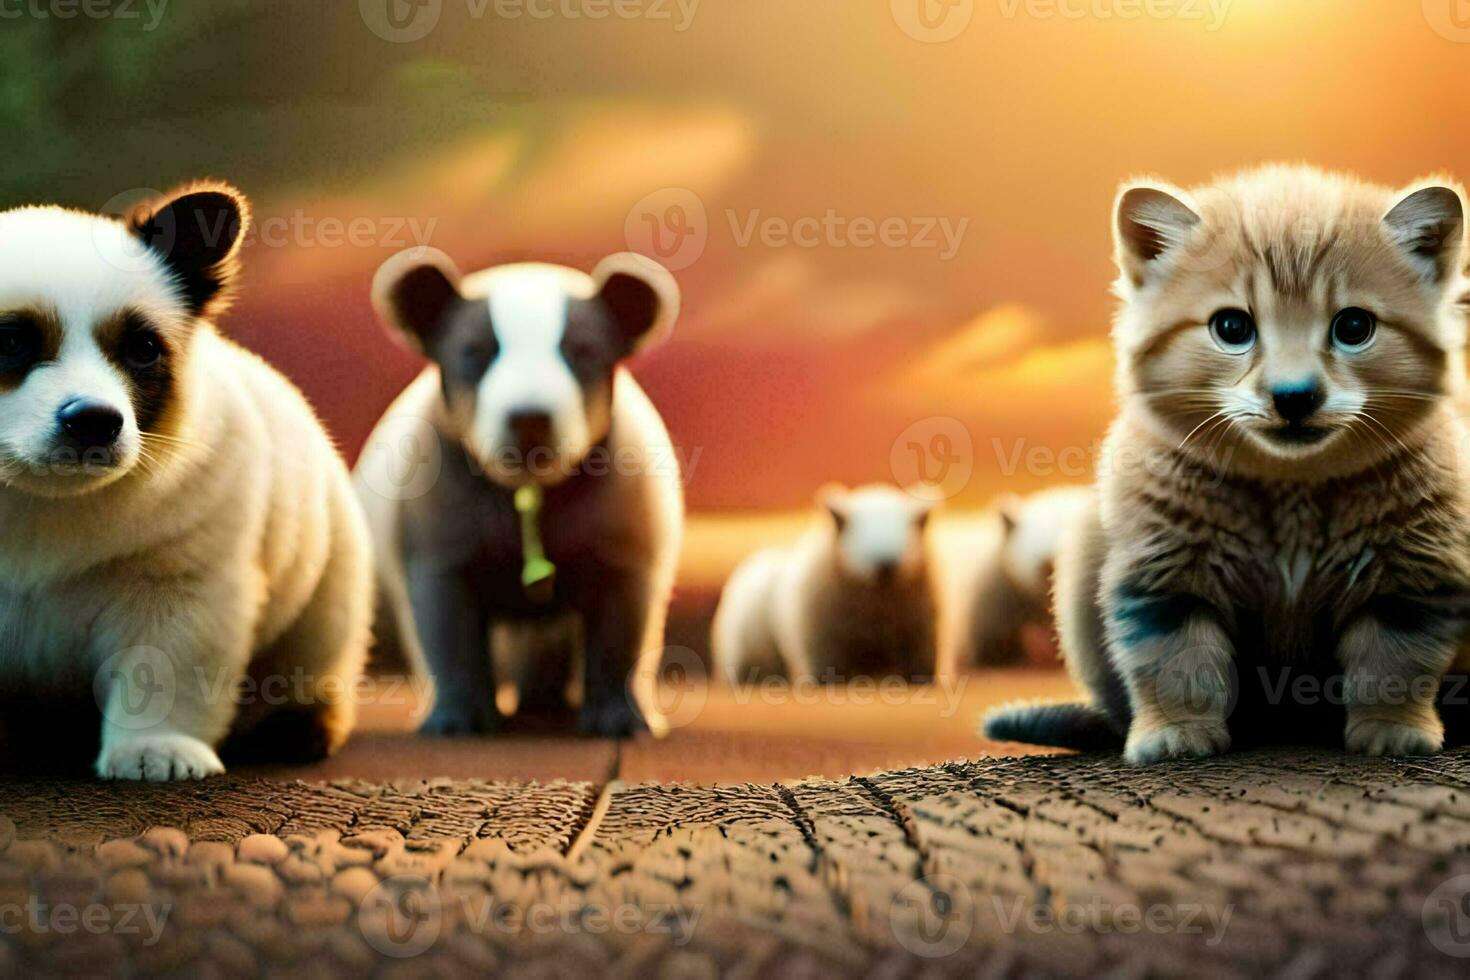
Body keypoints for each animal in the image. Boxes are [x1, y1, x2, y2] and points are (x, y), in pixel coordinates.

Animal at [0, 183, 373, 781]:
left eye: (142, 349)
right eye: (11, 342)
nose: (94, 421)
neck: (35, 500)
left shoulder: (183, 582)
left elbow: (165, 670)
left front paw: (156, 752)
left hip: (328, 596)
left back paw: (296, 729)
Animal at [355, 249, 682, 740]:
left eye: (582, 351)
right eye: (475, 352)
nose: (530, 418)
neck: (528, 494)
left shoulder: (624, 531)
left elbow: (621, 630)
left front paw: (618, 719)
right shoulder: (437, 527)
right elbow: (447, 627)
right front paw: (458, 719)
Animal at [714, 484, 940, 687]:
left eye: (910, 538)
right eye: (856, 540)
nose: (886, 565)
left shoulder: (920, 631)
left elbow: (919, 663)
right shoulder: (818, 637)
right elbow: (823, 667)